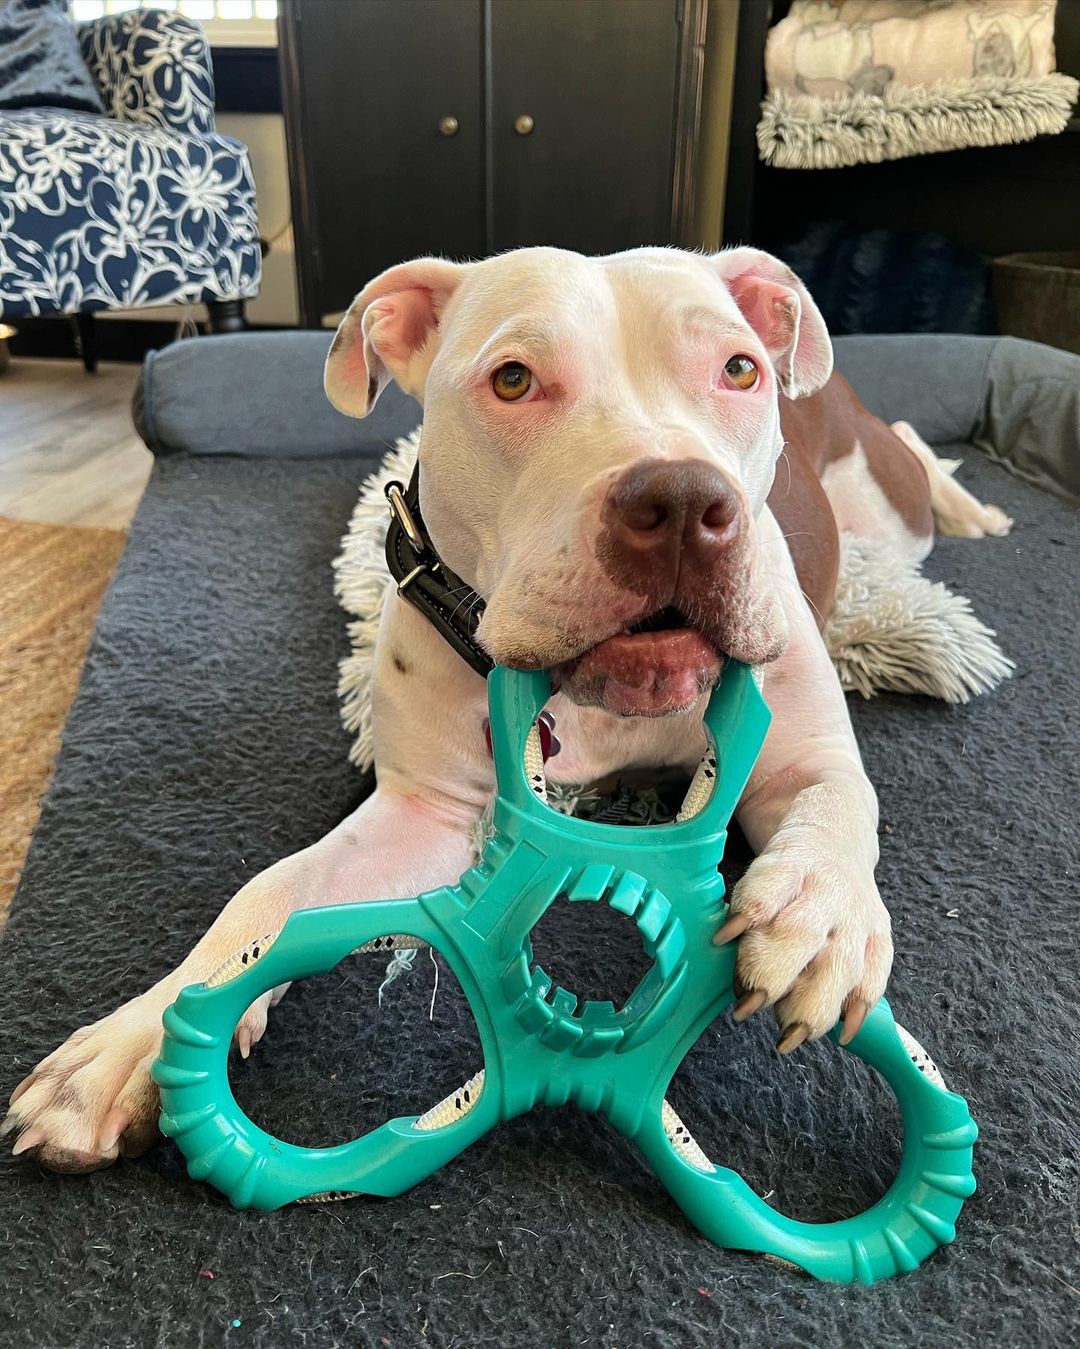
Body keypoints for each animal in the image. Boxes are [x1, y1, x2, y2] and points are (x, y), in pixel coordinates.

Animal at [4, 250, 1008, 1170]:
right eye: (515, 379)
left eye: (736, 370)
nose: (683, 500)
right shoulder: (426, 814)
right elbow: (270, 891)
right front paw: (129, 1043)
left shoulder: (804, 754)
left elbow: (838, 800)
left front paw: (819, 918)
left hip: (886, 510)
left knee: (916, 448)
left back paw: (981, 511)